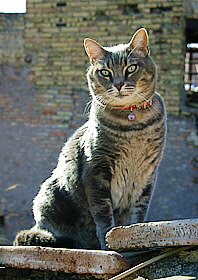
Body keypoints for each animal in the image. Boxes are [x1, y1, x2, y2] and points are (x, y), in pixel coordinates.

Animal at [13, 28, 166, 249]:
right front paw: (109, 242)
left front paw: (137, 236)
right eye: (105, 72)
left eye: (131, 68)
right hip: (48, 197)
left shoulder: (147, 175)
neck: (132, 125)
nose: (118, 84)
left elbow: (139, 213)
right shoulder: (96, 170)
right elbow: (103, 216)